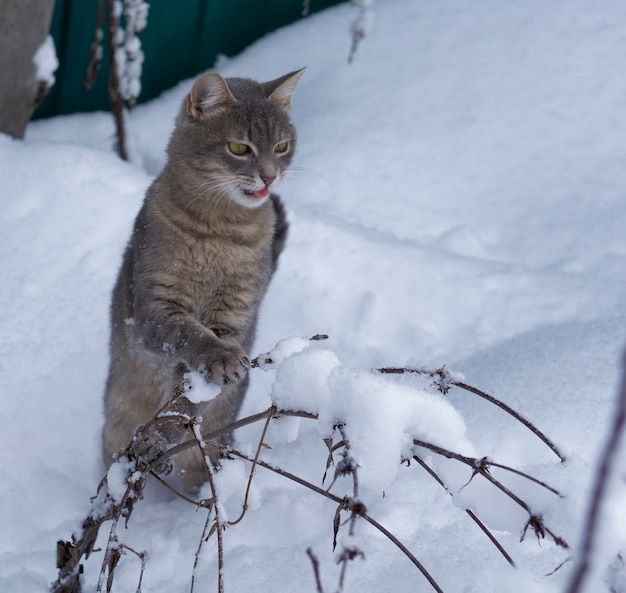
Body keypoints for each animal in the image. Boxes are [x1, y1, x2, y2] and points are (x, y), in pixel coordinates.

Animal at [102, 68, 302, 490]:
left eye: (281, 146)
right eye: (239, 148)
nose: (269, 176)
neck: (221, 232)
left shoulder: (235, 317)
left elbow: (187, 403)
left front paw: (160, 437)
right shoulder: (153, 307)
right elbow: (188, 331)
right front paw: (218, 357)